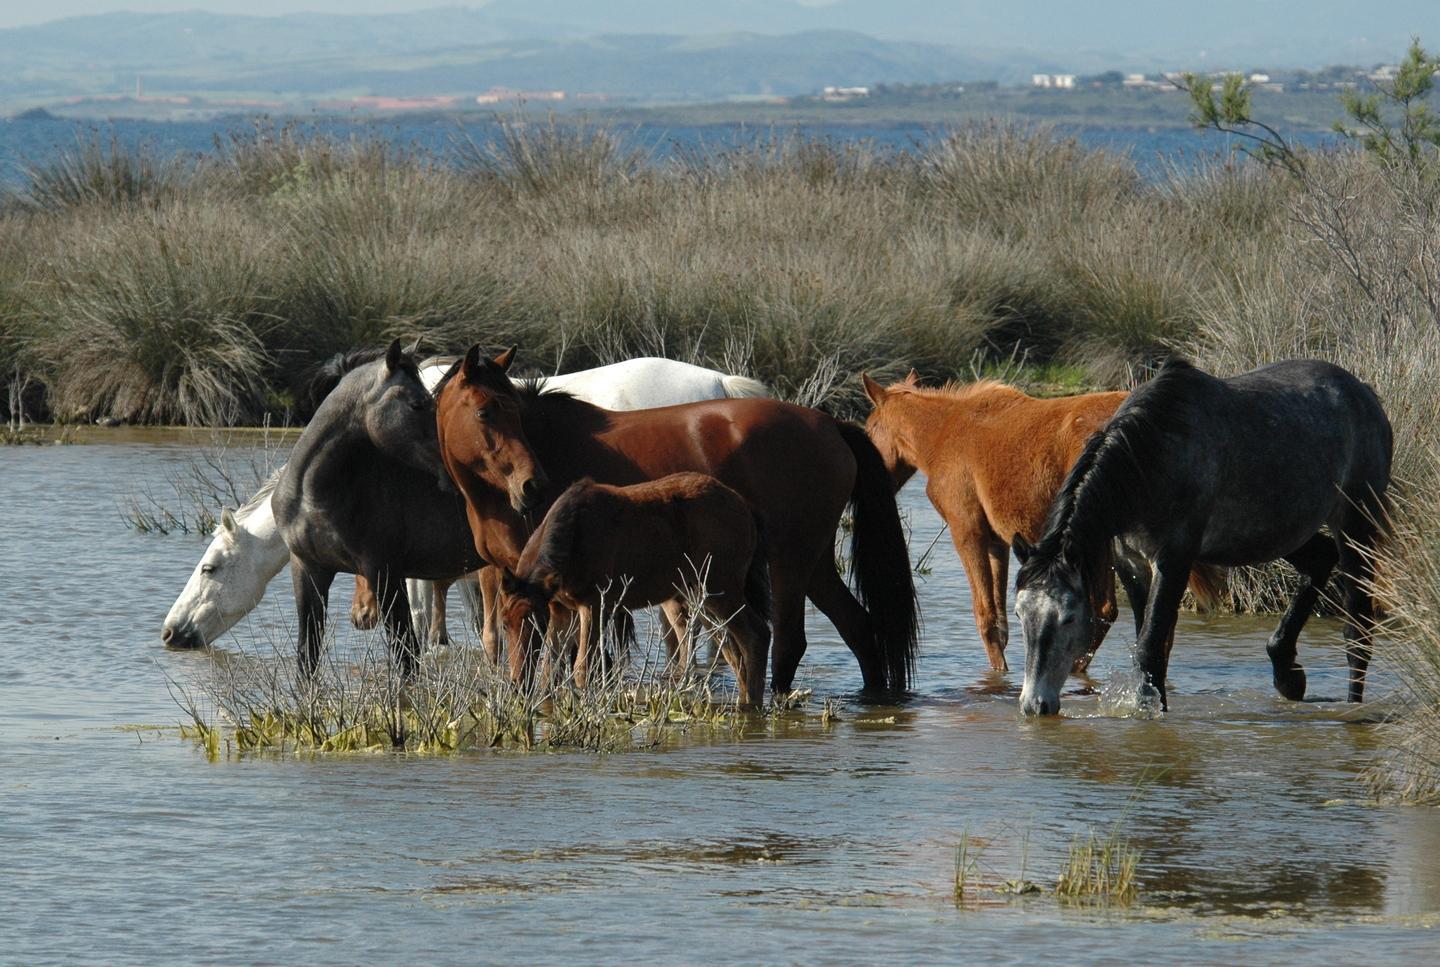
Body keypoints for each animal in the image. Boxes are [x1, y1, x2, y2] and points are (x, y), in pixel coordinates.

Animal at [271, 339, 483, 674]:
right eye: (417, 404)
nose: (455, 466)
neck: (312, 499)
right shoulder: (307, 570)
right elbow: (308, 656)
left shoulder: (385, 574)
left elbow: (405, 655)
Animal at [501, 474, 772, 705]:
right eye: (504, 623)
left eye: (536, 621)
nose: (517, 683)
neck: (571, 543)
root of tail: (749, 512)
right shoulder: (561, 609)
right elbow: (550, 671)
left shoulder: (594, 604)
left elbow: (582, 669)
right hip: (702, 598)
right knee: (734, 653)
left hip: (720, 586)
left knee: (756, 635)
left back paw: (752, 706)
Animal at [1012, 357, 1392, 715]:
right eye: (1019, 614)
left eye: (1068, 617)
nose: (1034, 704)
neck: (1150, 459)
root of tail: (1365, 394)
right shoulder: (1131, 564)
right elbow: (1151, 643)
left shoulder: (1173, 559)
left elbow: (1151, 646)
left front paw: (1149, 713)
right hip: (1280, 533)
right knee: (1320, 560)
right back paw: (1287, 674)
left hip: (1356, 523)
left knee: (1357, 625)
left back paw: (1352, 704)